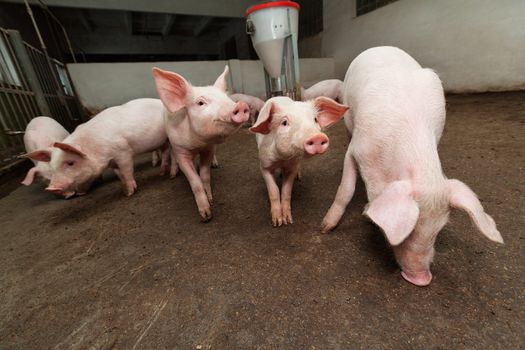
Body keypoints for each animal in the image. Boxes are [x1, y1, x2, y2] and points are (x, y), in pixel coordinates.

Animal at [24, 98, 166, 198]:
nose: (51, 188)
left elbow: (127, 170)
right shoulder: (112, 161)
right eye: (52, 168)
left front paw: (130, 193)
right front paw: (125, 190)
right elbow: (119, 174)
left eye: (71, 163)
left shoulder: (123, 152)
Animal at [151, 65, 250, 221]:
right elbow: (195, 181)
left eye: (226, 98)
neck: (197, 144)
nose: (240, 105)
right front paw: (206, 215)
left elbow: (204, 175)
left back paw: (215, 165)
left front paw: (211, 200)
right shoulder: (181, 150)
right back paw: (173, 174)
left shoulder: (209, 148)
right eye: (200, 103)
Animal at [250, 96, 348, 227]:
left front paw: (288, 221)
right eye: (284, 123)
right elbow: (273, 191)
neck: (282, 159)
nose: (317, 137)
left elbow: (286, 191)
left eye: (315, 119)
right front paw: (277, 223)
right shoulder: (264, 165)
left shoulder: (292, 166)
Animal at [320, 47, 504, 288]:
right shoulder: (357, 149)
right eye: (410, 230)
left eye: (438, 230)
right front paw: (325, 228)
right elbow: (345, 190)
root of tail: (382, 47)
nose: (422, 279)